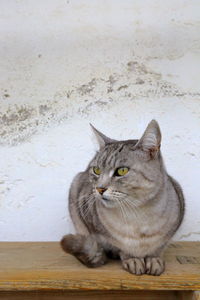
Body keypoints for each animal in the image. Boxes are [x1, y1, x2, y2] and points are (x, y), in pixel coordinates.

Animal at [60, 120, 184, 276]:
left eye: (122, 171)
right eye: (97, 170)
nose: (100, 188)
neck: (138, 214)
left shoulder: (171, 229)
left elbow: (158, 248)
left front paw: (154, 259)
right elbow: (122, 248)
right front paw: (132, 259)